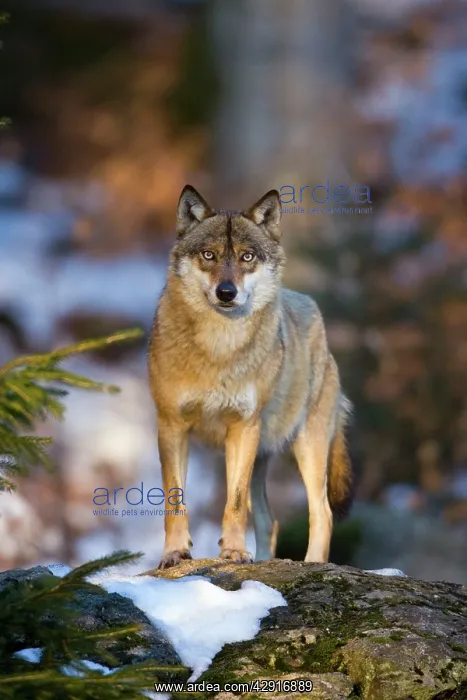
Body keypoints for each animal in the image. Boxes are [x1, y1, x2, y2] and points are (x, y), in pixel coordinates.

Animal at [148, 185, 352, 569]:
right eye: (209, 255)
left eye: (247, 257)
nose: (226, 292)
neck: (219, 348)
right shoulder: (171, 425)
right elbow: (174, 499)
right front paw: (175, 553)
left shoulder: (243, 428)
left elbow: (235, 502)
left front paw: (233, 553)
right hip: (263, 457)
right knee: (271, 522)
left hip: (306, 445)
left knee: (323, 513)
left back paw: (312, 566)